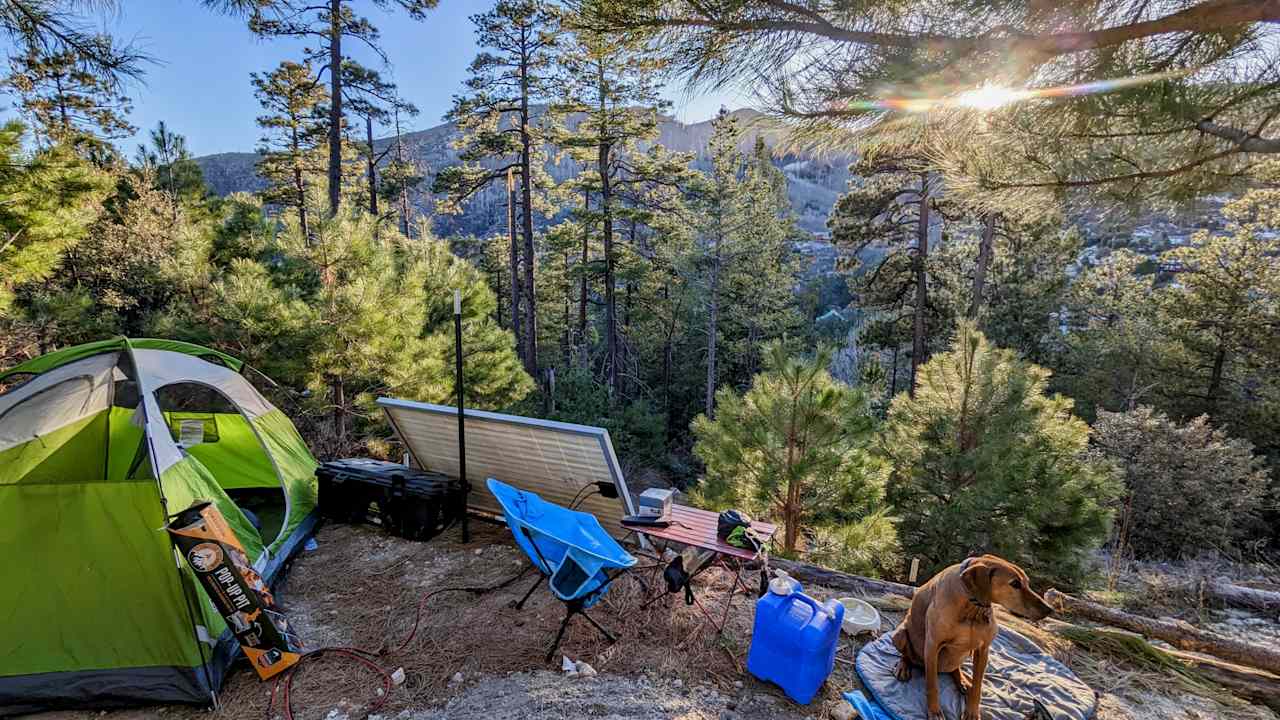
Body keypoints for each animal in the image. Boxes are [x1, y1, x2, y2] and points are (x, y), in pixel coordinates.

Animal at [890, 556, 1049, 717]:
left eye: (1027, 583)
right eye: (1015, 583)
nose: (1049, 609)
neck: (972, 606)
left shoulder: (983, 650)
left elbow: (978, 686)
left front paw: (972, 712)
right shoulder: (932, 646)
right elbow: (932, 684)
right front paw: (934, 712)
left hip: (965, 652)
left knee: (955, 668)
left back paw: (964, 681)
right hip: (899, 635)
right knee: (907, 654)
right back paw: (903, 667)